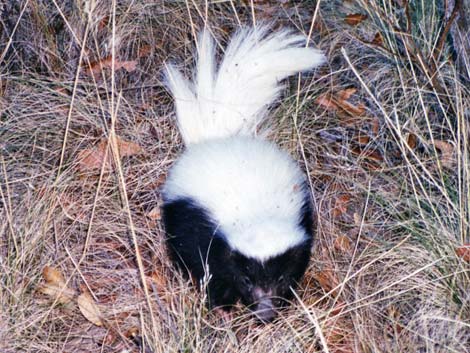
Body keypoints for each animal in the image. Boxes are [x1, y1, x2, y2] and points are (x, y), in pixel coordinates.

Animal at [161, 25, 324, 322]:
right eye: (247, 280)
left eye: (280, 279)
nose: (265, 312)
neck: (257, 213)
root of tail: (217, 136)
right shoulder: (204, 232)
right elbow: (209, 269)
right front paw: (222, 306)